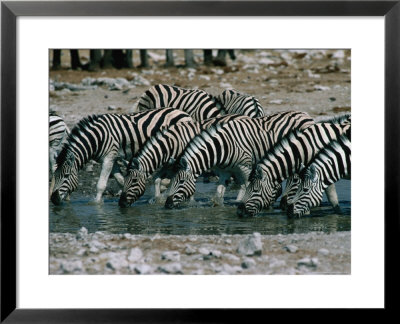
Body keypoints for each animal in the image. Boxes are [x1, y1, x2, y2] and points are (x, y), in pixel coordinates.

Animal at [49, 109, 191, 205]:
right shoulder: (111, 158)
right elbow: (121, 180)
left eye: (66, 176)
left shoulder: (109, 157)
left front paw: (96, 203)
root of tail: (184, 113)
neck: (97, 138)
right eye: (54, 176)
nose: (54, 200)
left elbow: (101, 184)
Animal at [117, 114, 252, 206]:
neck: (171, 144)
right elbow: (156, 180)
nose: (121, 204)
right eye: (125, 179)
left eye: (134, 181)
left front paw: (189, 201)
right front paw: (158, 199)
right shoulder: (168, 166)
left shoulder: (182, 165)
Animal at [164, 110, 314, 210]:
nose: (167, 204)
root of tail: (306, 115)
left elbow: (247, 186)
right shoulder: (225, 171)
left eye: (181, 181)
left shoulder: (245, 166)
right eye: (172, 180)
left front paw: (242, 202)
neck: (222, 146)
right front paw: (218, 205)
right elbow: (219, 191)